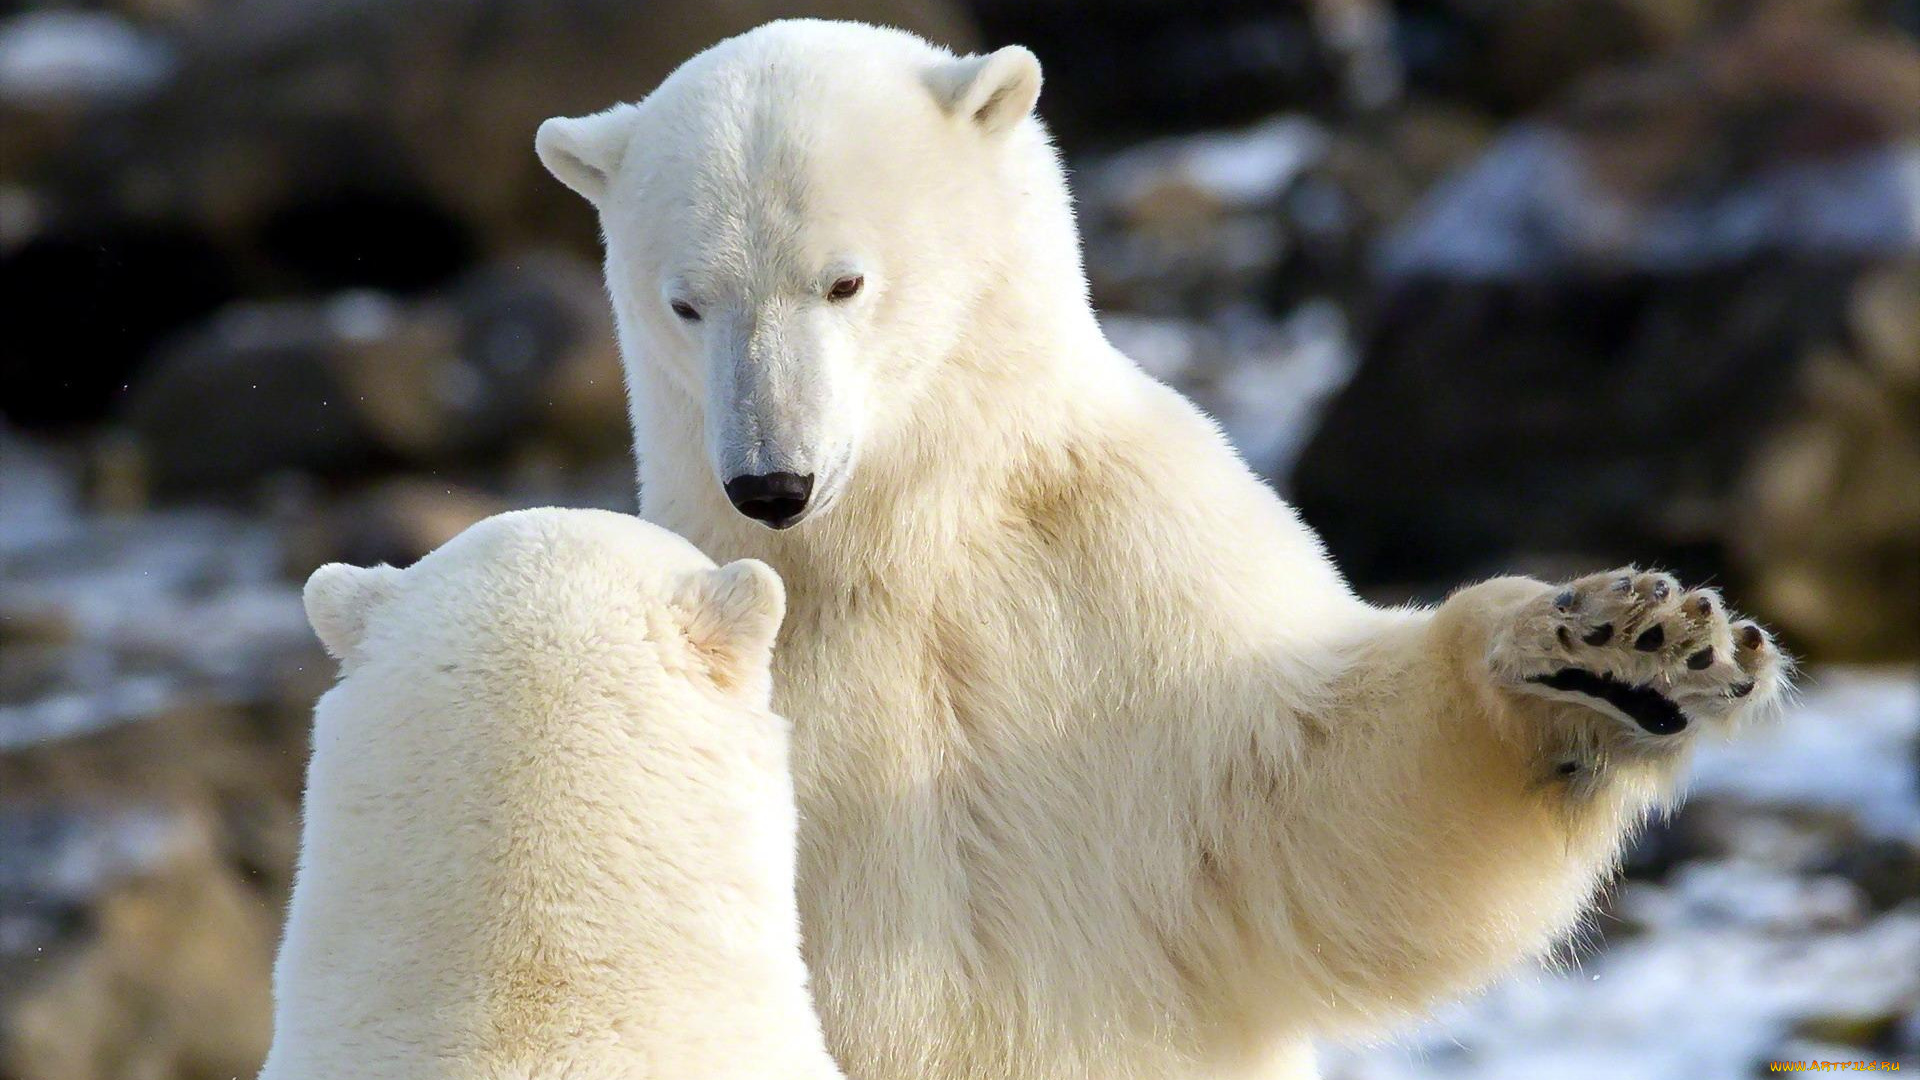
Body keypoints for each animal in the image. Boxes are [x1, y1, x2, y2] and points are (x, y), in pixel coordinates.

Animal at [533, 18, 1789, 1076]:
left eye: (843, 280)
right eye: (686, 303)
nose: (771, 483)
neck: (896, 535)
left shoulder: (1128, 565)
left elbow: (1315, 813)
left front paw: (1620, 656)